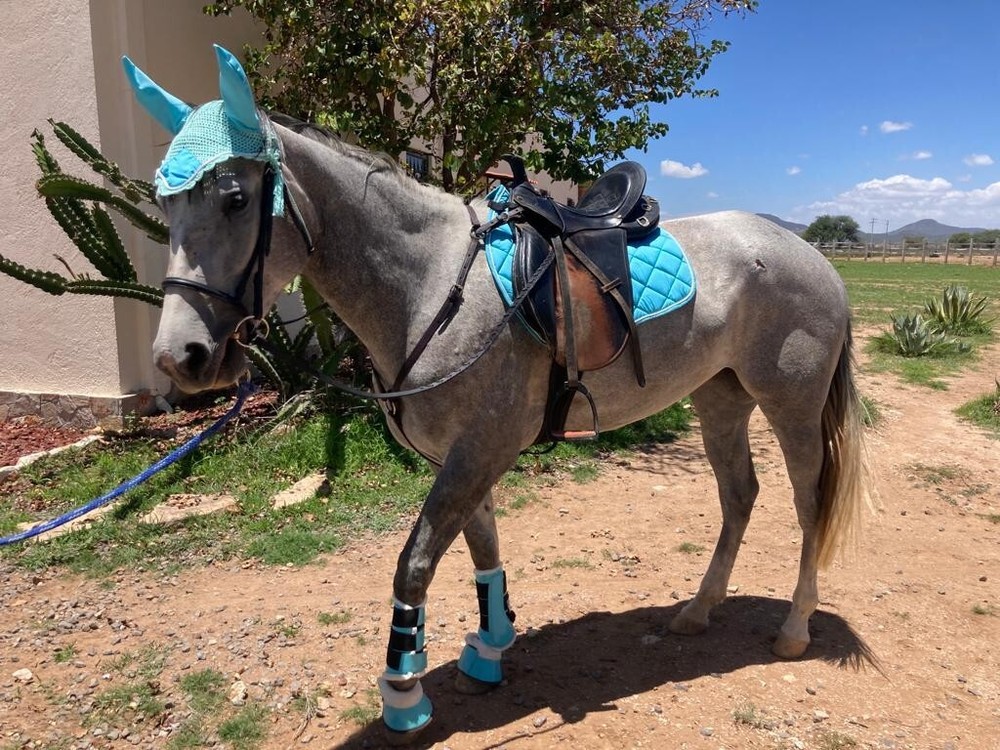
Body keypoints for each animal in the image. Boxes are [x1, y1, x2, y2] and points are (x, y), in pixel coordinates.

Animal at [123, 46, 871, 742]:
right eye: (163, 203)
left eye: (236, 199)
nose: (179, 357)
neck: (429, 285)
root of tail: (811, 253)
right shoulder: (465, 455)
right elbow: (481, 547)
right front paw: (488, 649)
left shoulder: (478, 449)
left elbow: (415, 564)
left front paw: (404, 694)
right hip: (720, 399)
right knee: (739, 495)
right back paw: (696, 611)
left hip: (792, 405)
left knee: (808, 504)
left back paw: (795, 628)